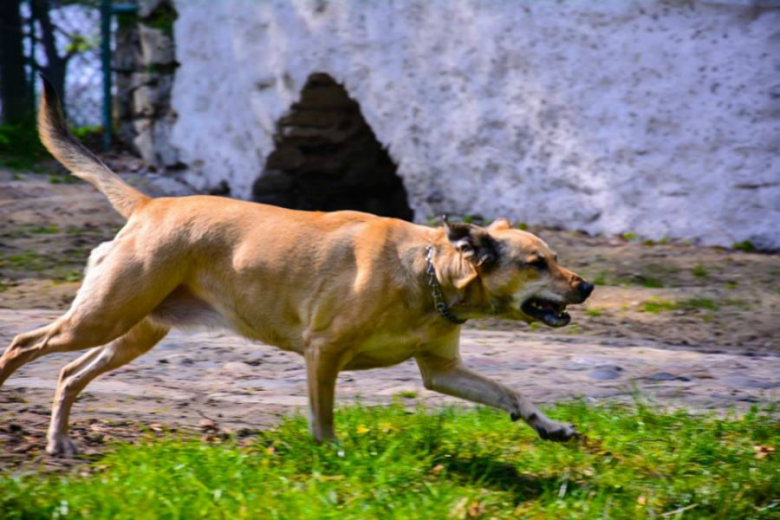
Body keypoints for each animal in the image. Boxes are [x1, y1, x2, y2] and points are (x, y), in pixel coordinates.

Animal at [0, 79, 592, 458]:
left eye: (555, 258)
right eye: (537, 263)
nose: (586, 286)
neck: (426, 275)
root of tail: (150, 205)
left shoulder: (441, 370)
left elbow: (510, 393)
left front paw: (550, 426)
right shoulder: (322, 351)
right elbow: (323, 421)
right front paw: (334, 458)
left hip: (132, 332)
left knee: (68, 373)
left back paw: (58, 441)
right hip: (99, 317)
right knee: (23, 345)